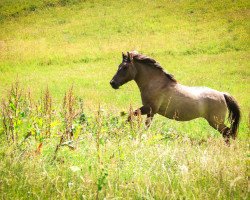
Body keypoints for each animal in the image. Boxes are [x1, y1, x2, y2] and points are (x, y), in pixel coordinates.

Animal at [109, 50, 240, 143]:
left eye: (125, 67)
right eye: (119, 66)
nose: (112, 83)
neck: (156, 83)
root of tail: (222, 94)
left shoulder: (150, 109)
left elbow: (137, 119)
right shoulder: (149, 110)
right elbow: (131, 116)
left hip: (215, 122)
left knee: (228, 133)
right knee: (228, 134)